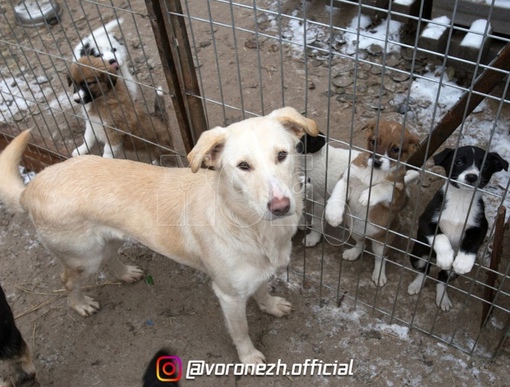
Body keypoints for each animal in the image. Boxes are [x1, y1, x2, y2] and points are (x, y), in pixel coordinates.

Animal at [0, 107, 318, 366]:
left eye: (282, 155)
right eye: (243, 166)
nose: (281, 206)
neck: (247, 224)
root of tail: (32, 187)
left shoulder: (258, 272)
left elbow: (262, 290)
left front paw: (271, 305)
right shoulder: (228, 296)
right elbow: (241, 331)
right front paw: (249, 357)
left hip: (110, 238)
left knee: (110, 257)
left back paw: (125, 273)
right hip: (83, 257)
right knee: (67, 279)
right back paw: (80, 304)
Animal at [324, 122, 420, 288]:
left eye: (396, 149)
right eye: (374, 141)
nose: (376, 162)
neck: (373, 173)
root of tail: (368, 236)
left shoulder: (397, 195)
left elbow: (384, 187)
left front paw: (368, 196)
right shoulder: (346, 178)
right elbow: (338, 194)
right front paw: (333, 215)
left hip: (381, 243)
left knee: (381, 258)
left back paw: (379, 275)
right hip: (355, 231)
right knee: (361, 244)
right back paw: (353, 252)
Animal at [408, 146, 508, 312]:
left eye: (485, 165)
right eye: (459, 162)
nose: (472, 177)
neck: (461, 199)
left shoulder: (480, 227)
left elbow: (471, 242)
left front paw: (463, 262)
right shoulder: (425, 221)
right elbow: (441, 236)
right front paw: (446, 257)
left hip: (451, 274)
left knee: (442, 278)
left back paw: (442, 298)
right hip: (418, 256)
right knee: (424, 269)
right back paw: (417, 284)